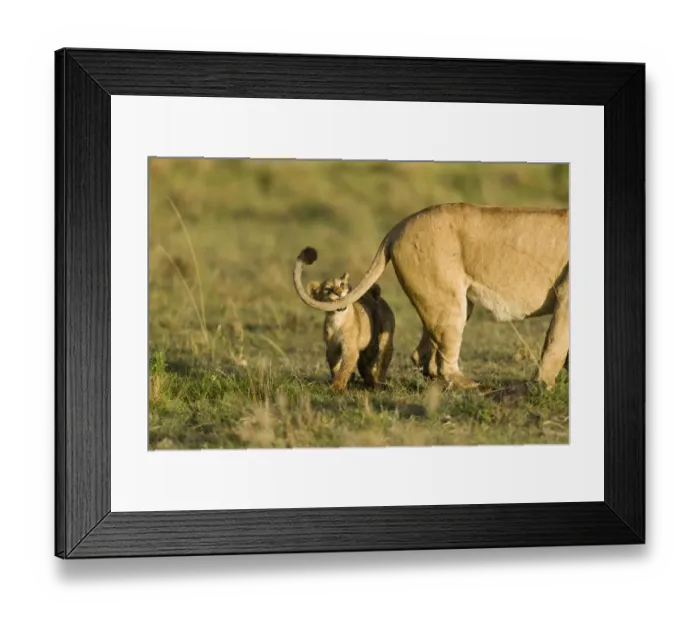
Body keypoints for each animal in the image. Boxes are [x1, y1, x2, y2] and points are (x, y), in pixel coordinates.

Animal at [294, 202, 569, 390]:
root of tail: (400, 225)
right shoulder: (566, 293)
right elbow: (556, 342)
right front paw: (542, 386)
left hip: (445, 301)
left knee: (425, 356)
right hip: (449, 303)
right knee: (444, 361)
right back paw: (472, 385)